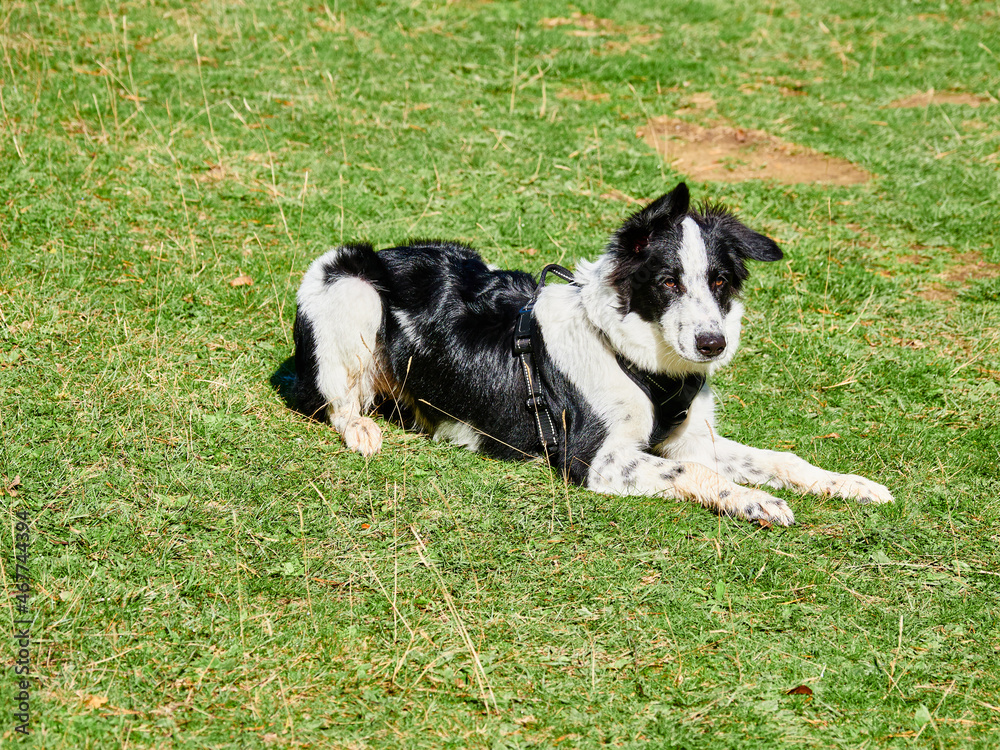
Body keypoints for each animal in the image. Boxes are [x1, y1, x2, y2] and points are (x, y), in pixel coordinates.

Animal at [292, 183, 896, 524]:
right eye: (669, 282)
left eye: (720, 281)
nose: (713, 344)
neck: (641, 361)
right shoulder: (595, 460)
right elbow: (695, 473)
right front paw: (752, 501)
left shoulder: (693, 439)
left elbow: (779, 459)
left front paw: (849, 484)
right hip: (349, 286)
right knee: (339, 401)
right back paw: (363, 430)